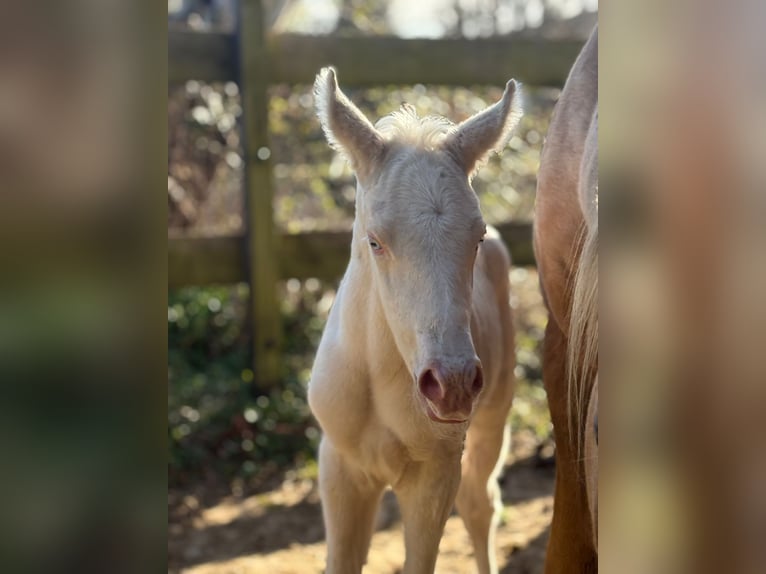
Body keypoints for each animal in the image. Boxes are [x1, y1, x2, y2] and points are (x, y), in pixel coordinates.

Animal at [308, 67, 520, 574]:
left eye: (476, 236)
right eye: (375, 241)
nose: (454, 384)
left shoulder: (435, 475)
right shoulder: (340, 468)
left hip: (493, 418)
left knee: (481, 505)